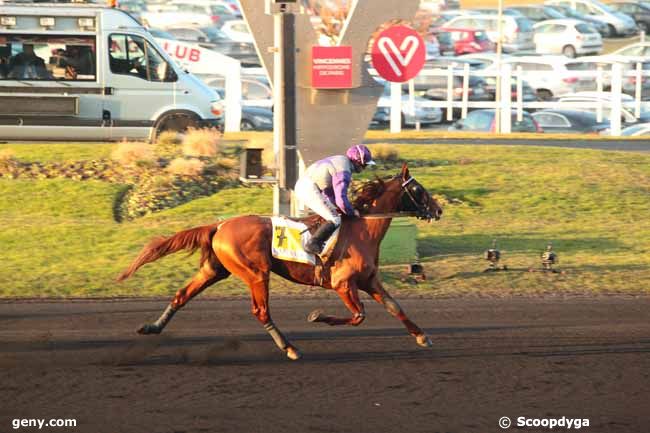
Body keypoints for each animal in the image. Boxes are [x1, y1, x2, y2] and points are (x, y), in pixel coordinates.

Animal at [116, 164, 440, 360]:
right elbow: (359, 316)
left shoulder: (369, 280)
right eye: (418, 190)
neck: (361, 230)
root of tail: (219, 225)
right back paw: (290, 348)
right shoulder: (342, 284)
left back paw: (152, 327)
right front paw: (318, 316)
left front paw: (422, 337)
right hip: (256, 273)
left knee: (182, 295)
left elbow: (395, 307)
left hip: (215, 270)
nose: (437, 210)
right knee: (260, 311)